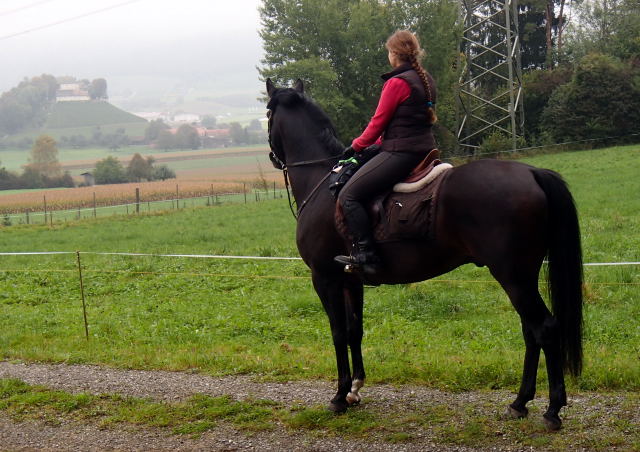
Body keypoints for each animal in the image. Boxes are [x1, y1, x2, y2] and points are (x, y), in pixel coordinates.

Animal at [264, 79, 584, 430]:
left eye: (267, 113)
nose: (271, 156)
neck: (323, 182)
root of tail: (532, 172)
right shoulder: (351, 280)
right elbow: (353, 330)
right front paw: (355, 390)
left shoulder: (325, 278)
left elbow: (337, 333)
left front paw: (339, 396)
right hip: (522, 277)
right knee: (531, 331)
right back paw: (520, 402)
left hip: (513, 276)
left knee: (545, 329)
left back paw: (552, 410)